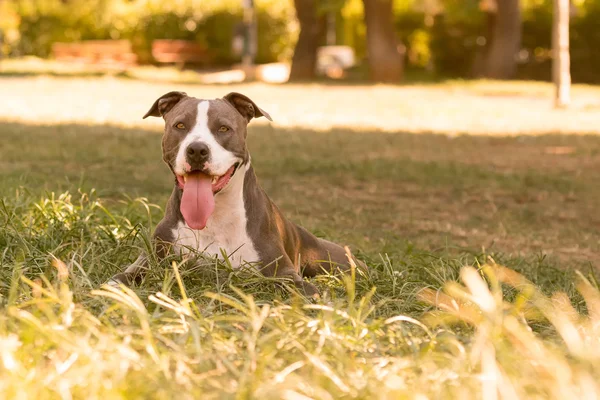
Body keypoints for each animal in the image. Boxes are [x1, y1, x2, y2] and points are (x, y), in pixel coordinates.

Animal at [109, 91, 358, 296]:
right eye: (180, 126)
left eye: (223, 128)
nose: (197, 150)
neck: (214, 217)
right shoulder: (150, 258)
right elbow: (119, 278)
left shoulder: (284, 272)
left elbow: (308, 292)